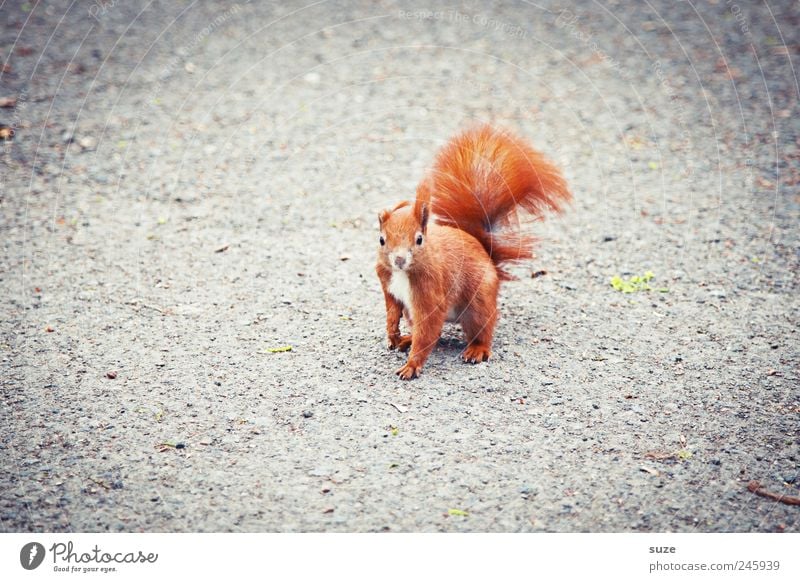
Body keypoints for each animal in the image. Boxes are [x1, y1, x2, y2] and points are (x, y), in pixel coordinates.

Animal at [376, 125, 568, 380]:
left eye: (419, 239)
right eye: (381, 240)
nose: (398, 259)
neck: (402, 273)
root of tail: (487, 255)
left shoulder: (431, 290)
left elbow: (428, 327)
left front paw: (412, 365)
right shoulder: (388, 285)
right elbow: (392, 309)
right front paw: (392, 333)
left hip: (479, 301)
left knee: (480, 329)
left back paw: (477, 349)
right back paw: (407, 338)